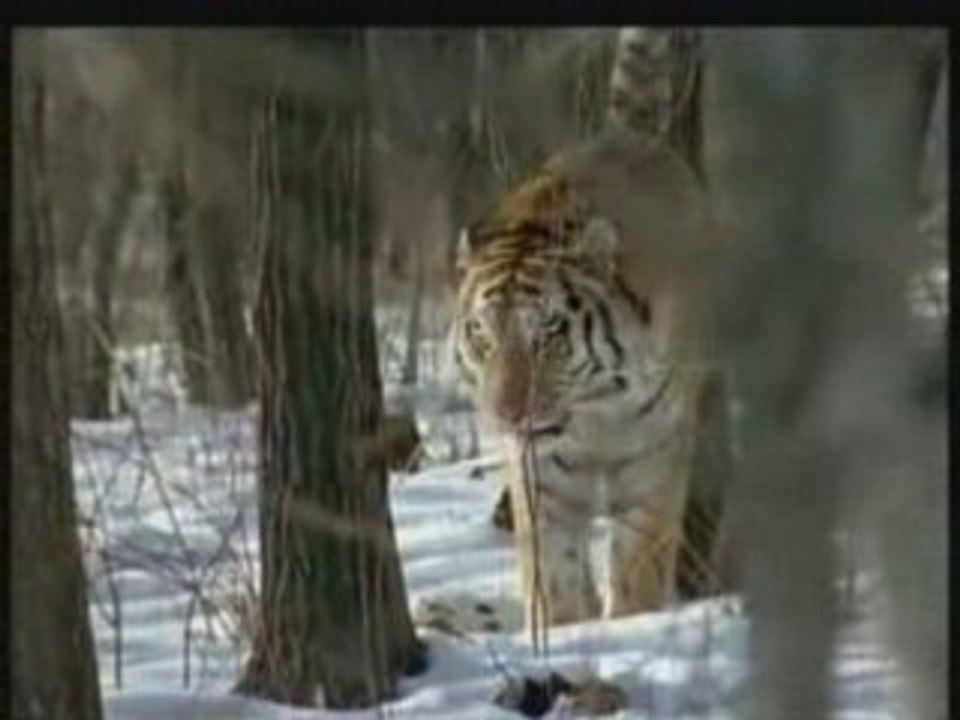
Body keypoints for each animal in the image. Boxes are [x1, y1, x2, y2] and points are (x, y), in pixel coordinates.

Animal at [451, 28, 726, 629]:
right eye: (483, 337)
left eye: (549, 334)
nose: (507, 415)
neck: (594, 414)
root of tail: (624, 136)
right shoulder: (541, 479)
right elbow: (551, 576)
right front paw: (561, 630)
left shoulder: (654, 463)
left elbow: (637, 566)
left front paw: (632, 626)